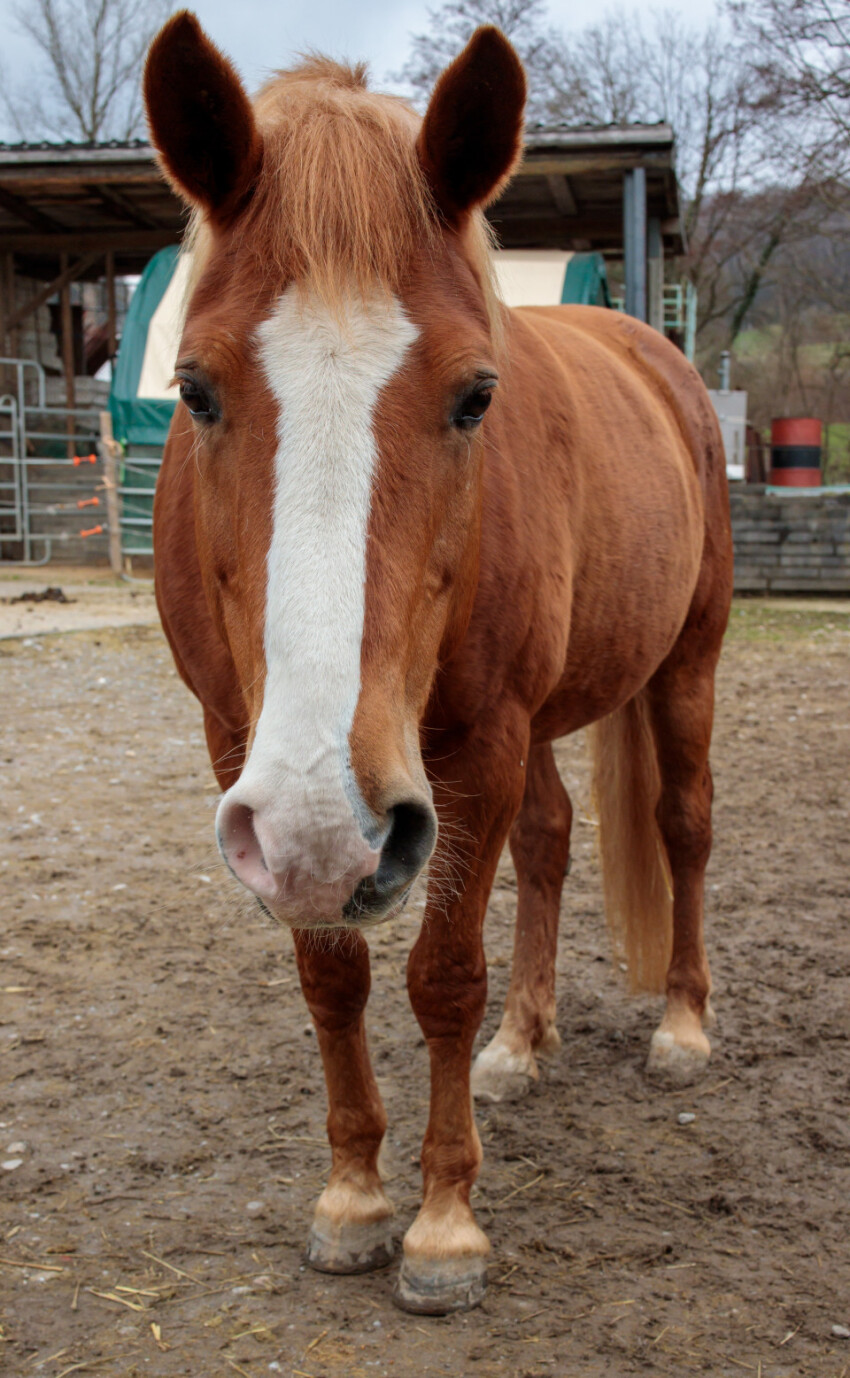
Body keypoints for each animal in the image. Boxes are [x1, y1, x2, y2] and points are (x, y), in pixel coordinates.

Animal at [143, 13, 727, 1322]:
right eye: (194, 389)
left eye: (474, 396)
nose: (328, 820)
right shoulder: (240, 746)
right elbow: (332, 977)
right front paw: (354, 1199)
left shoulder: (479, 745)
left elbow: (443, 974)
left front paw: (445, 1225)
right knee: (553, 839)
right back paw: (524, 1043)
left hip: (683, 667)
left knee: (681, 825)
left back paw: (681, 1028)